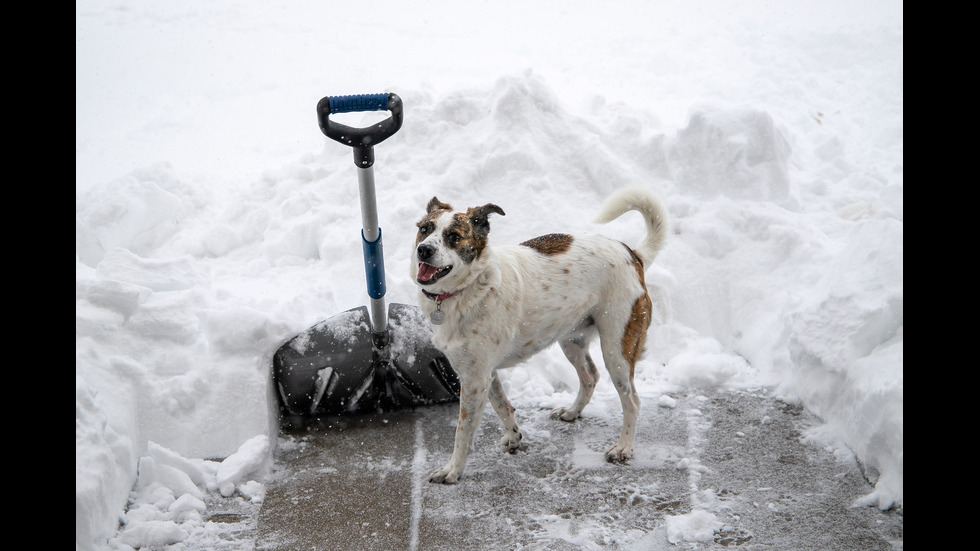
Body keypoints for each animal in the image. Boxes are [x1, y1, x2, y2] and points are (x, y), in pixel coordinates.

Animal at [410, 187, 668, 484]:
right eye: (425, 229)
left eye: (453, 236)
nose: (424, 249)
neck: (469, 287)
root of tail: (633, 253)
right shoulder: (484, 372)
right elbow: (502, 405)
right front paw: (514, 438)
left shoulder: (475, 379)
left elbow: (463, 431)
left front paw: (453, 470)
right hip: (571, 340)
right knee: (590, 376)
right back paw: (572, 412)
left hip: (618, 349)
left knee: (632, 401)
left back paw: (624, 447)